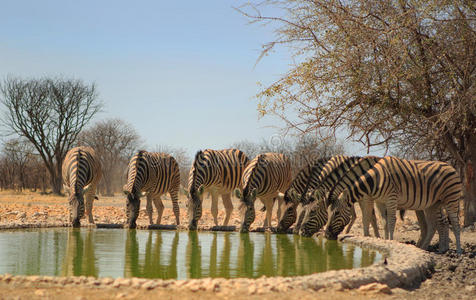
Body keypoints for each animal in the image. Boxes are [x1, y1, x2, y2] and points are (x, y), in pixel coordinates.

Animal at [326, 157, 462, 253]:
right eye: (327, 213)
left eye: (336, 213)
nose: (326, 234)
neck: (375, 180)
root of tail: (452, 167)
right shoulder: (380, 202)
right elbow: (383, 222)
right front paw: (385, 240)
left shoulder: (390, 198)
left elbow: (387, 221)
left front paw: (389, 240)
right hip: (433, 204)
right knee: (436, 224)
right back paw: (436, 249)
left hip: (451, 199)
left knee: (454, 224)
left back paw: (458, 251)